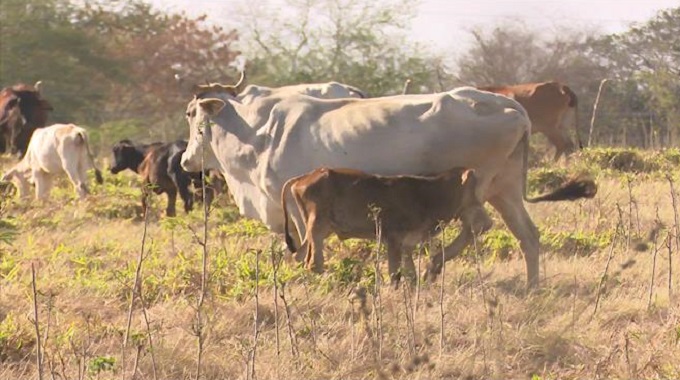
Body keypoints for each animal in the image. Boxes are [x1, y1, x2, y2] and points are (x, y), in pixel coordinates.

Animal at [278, 165, 492, 286]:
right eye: (475, 190)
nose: (488, 221)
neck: (430, 194)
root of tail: (304, 177)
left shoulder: (407, 243)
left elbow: (410, 274)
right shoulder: (393, 239)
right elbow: (395, 273)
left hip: (317, 231)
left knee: (299, 256)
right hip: (318, 227)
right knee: (314, 263)